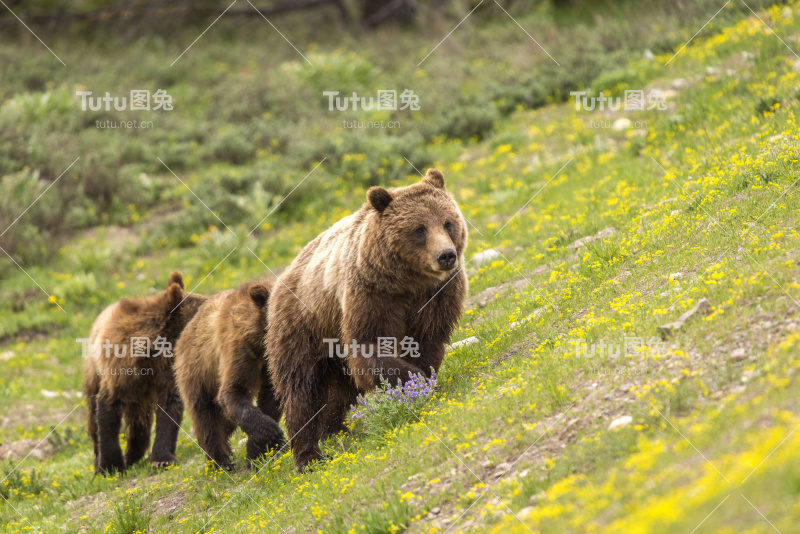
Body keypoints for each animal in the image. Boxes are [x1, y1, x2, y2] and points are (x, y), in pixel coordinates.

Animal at [80, 274, 206, 476]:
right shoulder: (117, 370)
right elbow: (107, 411)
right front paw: (109, 465)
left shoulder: (166, 373)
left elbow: (169, 410)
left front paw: (162, 459)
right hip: (94, 371)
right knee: (93, 414)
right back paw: (101, 458)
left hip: (139, 395)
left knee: (139, 422)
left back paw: (133, 455)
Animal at [176, 282, 288, 472]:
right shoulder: (239, 347)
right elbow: (234, 390)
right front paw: (268, 433)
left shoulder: (270, 361)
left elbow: (271, 397)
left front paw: (258, 452)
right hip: (198, 372)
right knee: (207, 418)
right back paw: (220, 463)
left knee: (224, 420)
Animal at [268, 169, 468, 474]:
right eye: (419, 229)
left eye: (448, 222)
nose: (446, 255)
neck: (409, 282)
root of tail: (284, 274)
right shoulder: (372, 295)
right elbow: (369, 346)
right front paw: (414, 380)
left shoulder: (437, 294)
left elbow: (428, 341)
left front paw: (423, 382)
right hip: (302, 324)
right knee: (301, 390)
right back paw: (309, 456)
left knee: (337, 390)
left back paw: (335, 429)